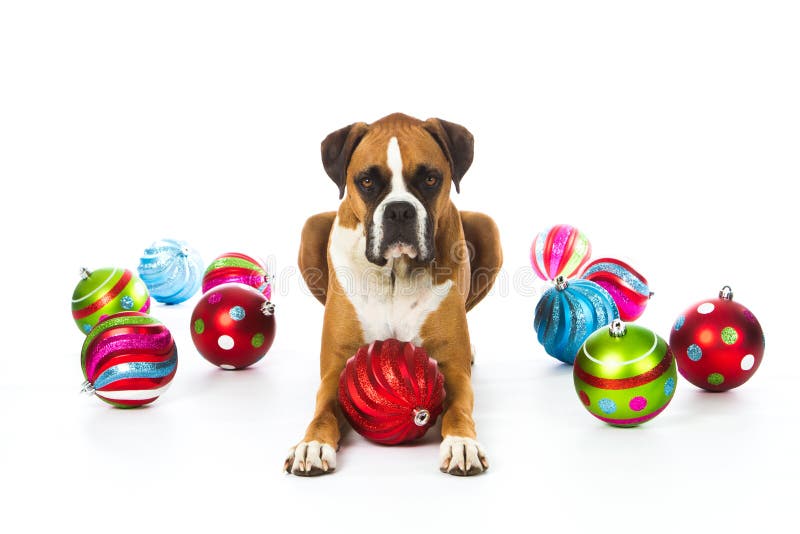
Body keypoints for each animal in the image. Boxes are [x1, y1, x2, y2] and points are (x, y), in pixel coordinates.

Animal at [286, 112, 500, 478]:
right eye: (367, 182)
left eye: (430, 178)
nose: (399, 210)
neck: (394, 273)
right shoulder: (335, 369)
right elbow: (323, 410)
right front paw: (311, 445)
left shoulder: (454, 370)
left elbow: (458, 409)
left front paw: (461, 443)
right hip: (311, 227)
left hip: (487, 227)